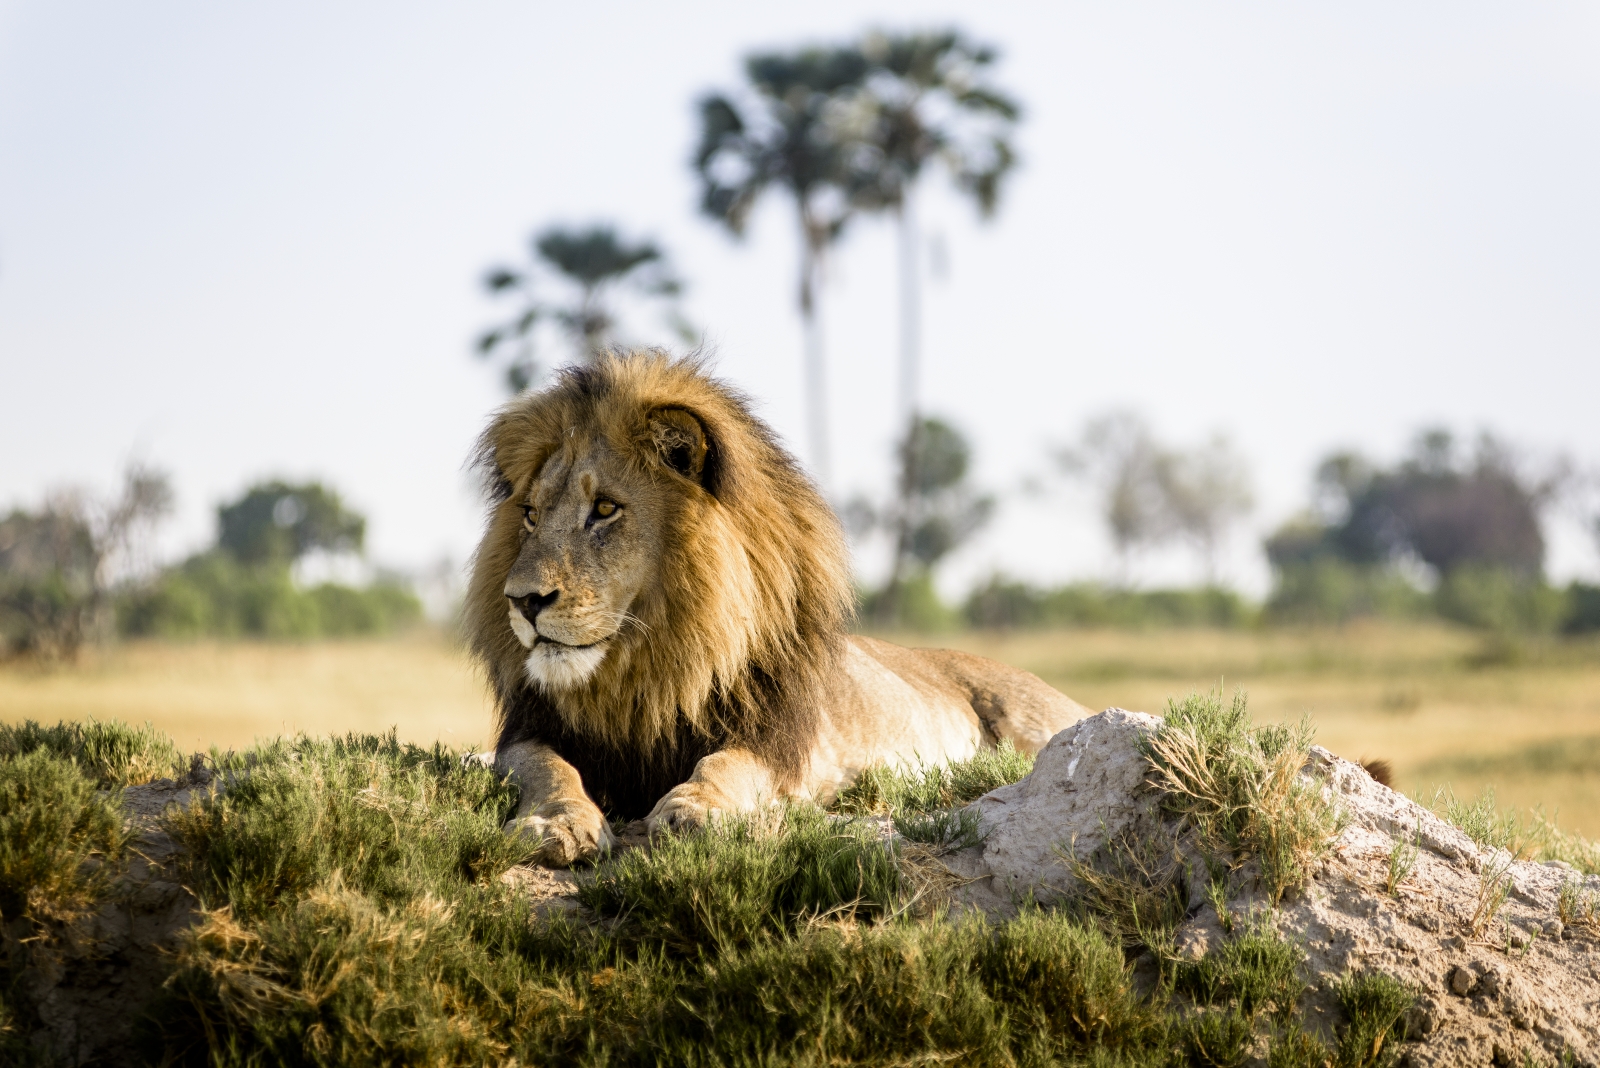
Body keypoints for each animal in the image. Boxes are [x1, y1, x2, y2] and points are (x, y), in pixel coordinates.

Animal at [464, 350, 1088, 869]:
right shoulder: (527, 731)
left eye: (606, 509)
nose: (523, 600)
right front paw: (557, 823)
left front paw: (695, 810)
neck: (646, 671)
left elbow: (725, 765)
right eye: (530, 515)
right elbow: (549, 769)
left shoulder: (776, 743)